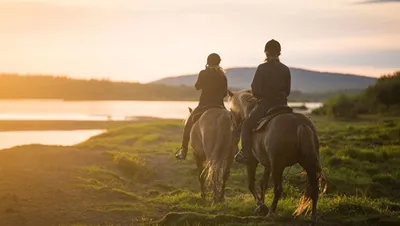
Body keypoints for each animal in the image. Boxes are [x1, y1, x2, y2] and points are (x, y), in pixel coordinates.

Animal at [227, 89, 326, 225]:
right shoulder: (268, 164)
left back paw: (271, 213)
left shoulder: (252, 162)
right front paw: (261, 206)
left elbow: (251, 185)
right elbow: (263, 183)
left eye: (231, 112)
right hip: (308, 163)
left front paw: (261, 205)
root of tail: (300, 125)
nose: (233, 131)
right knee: (314, 189)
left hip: (278, 166)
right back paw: (313, 218)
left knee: (278, 188)